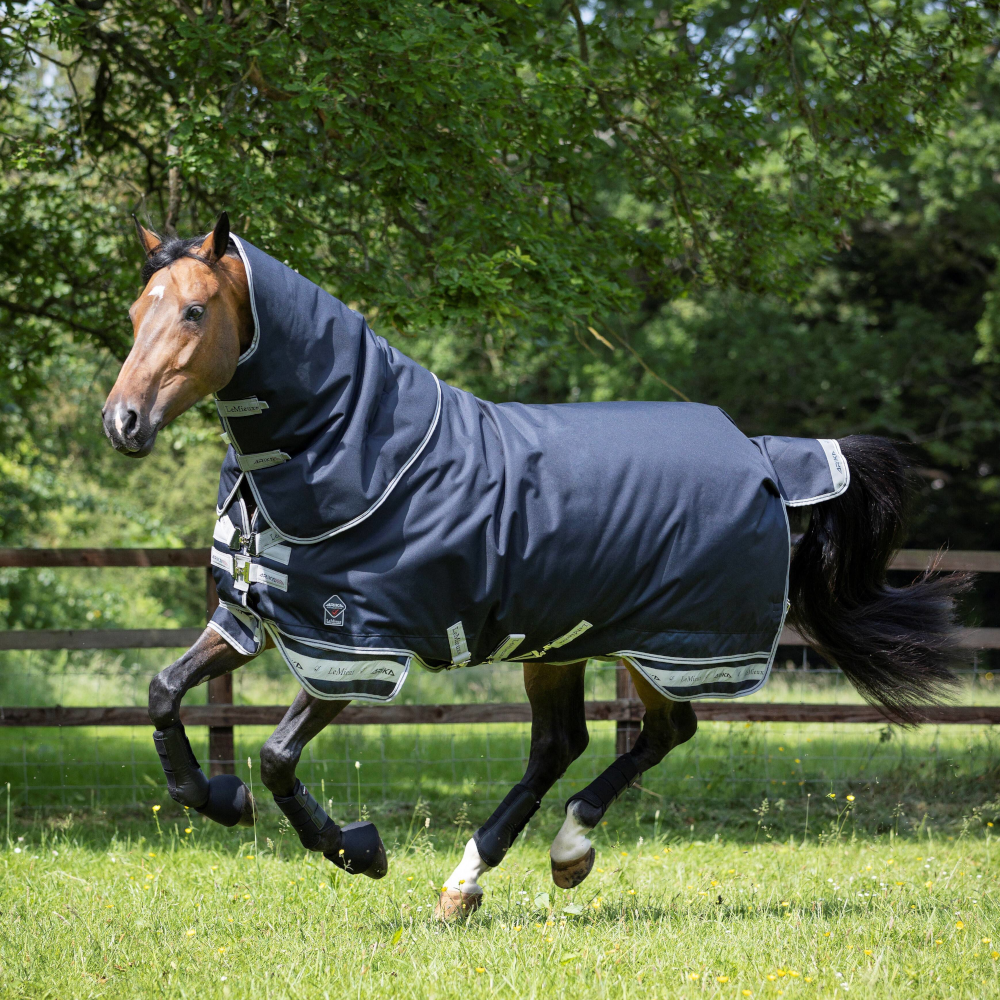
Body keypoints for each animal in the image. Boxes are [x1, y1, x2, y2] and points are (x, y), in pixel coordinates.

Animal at [103, 213, 966, 919]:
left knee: (660, 731)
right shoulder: (252, 618)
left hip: (670, 643)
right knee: (567, 745)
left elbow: (278, 757)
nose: (123, 422)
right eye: (137, 312)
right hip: (562, 641)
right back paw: (476, 881)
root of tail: (763, 454)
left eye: (194, 310)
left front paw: (357, 848)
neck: (356, 452)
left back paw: (557, 852)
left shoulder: (355, 652)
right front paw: (218, 798)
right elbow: (162, 693)